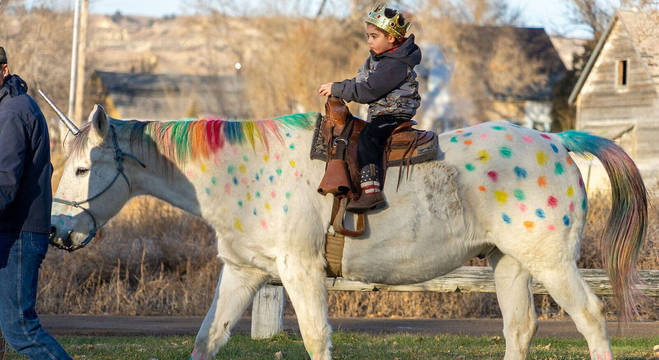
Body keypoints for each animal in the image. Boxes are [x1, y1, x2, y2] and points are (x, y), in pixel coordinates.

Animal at [49, 105, 648, 360]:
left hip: (553, 265)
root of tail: (557, 142)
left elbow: (316, 338)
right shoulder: (243, 274)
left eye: (81, 169)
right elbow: (207, 339)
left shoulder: (300, 272)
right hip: (511, 266)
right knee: (520, 331)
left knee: (591, 319)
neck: (244, 172)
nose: (56, 232)